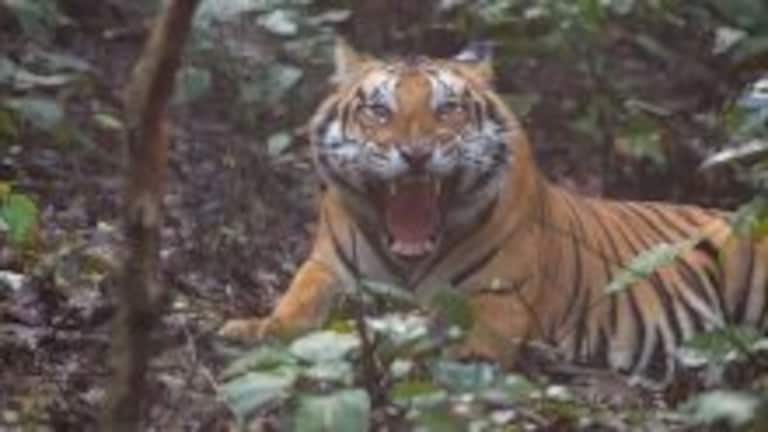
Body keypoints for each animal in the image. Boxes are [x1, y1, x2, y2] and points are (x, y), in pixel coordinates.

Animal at [220, 38, 768, 381]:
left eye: (447, 109)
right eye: (379, 110)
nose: (415, 155)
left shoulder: (497, 301)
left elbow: (458, 351)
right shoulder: (327, 268)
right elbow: (295, 305)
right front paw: (252, 331)